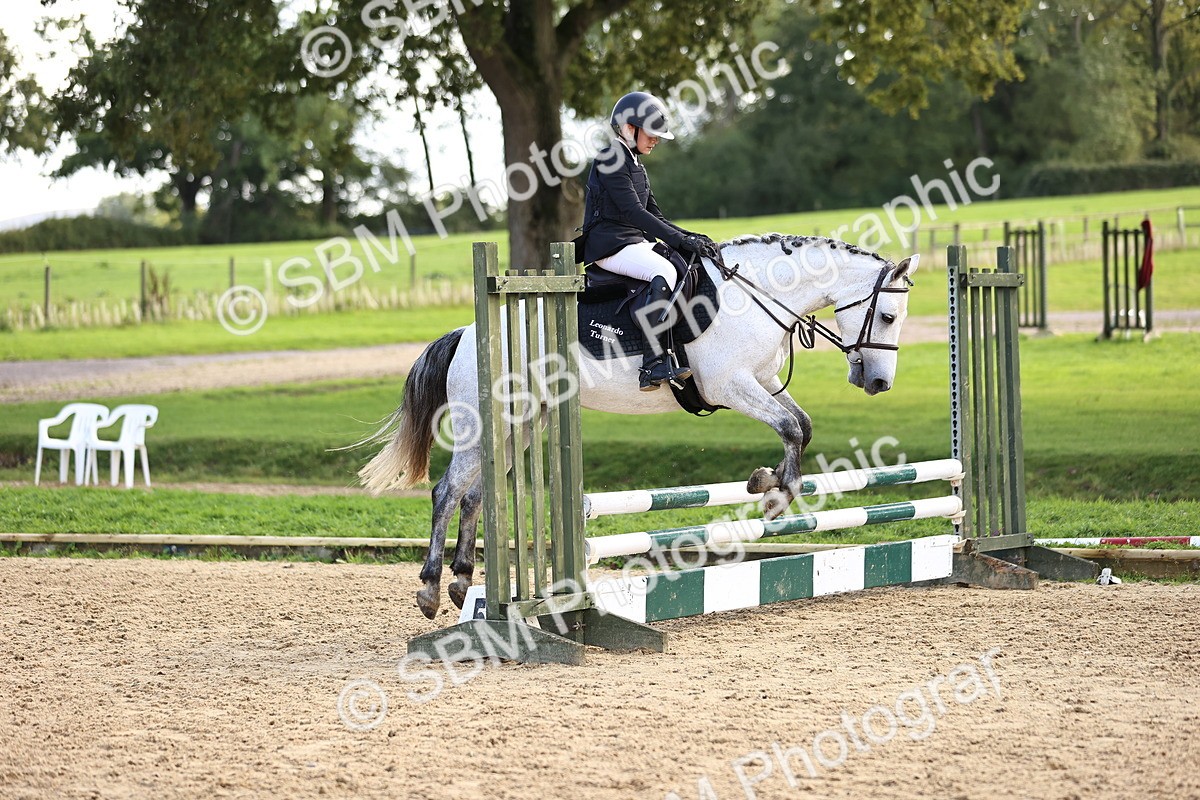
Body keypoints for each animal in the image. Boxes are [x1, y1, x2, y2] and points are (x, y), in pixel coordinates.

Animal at [354, 233, 919, 619]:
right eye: (889, 317)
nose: (879, 383)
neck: (756, 296)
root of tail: (470, 332)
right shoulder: (729, 384)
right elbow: (792, 427)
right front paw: (779, 495)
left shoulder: (761, 379)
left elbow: (800, 423)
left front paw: (767, 481)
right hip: (486, 423)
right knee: (447, 492)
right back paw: (430, 588)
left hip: (521, 423)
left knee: (474, 496)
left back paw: (461, 582)